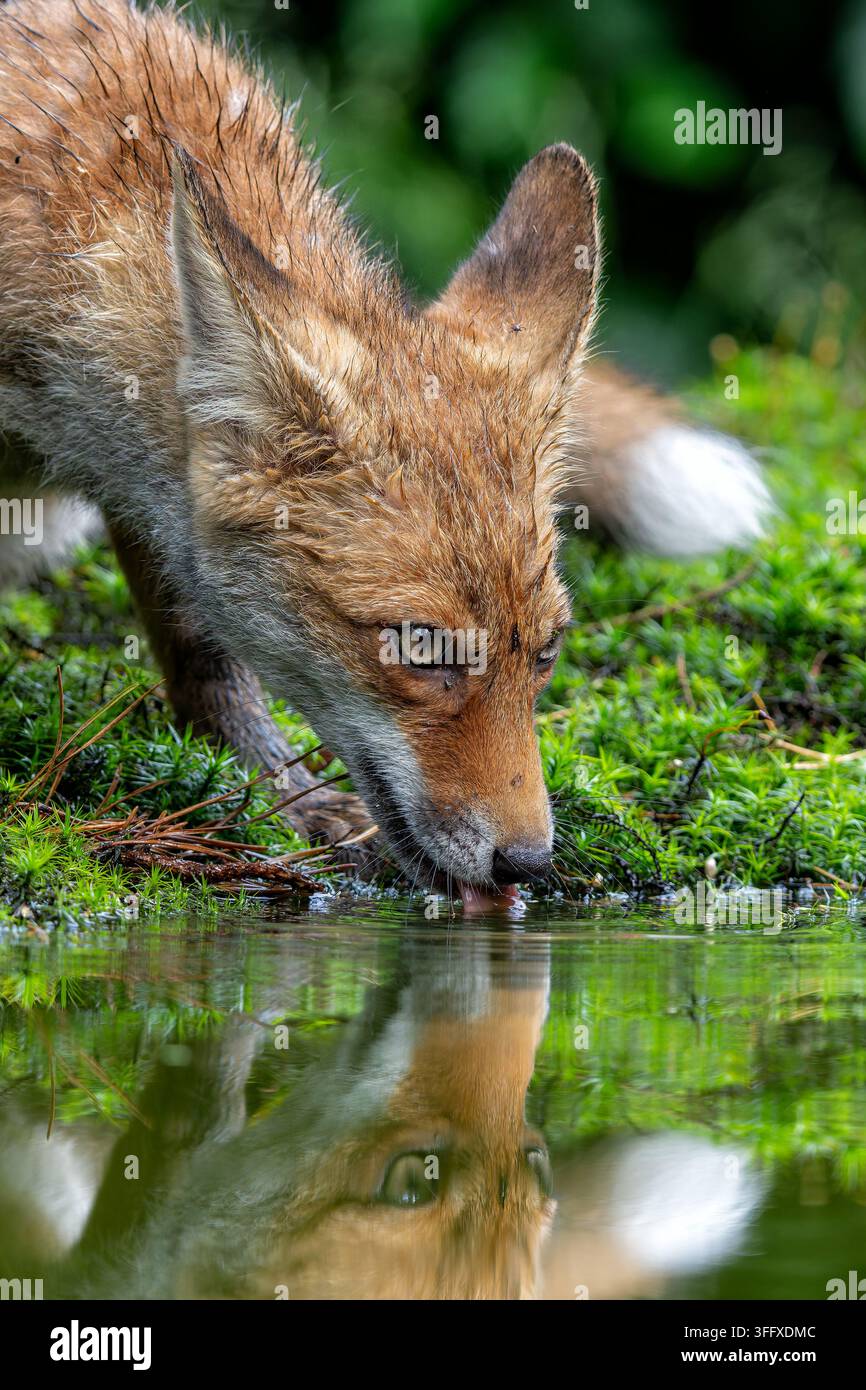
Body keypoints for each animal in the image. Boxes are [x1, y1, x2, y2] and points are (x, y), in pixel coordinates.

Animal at [0, 0, 772, 902]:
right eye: (421, 648)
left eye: (546, 651)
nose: (528, 864)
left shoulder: (156, 506)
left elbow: (203, 650)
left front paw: (275, 793)